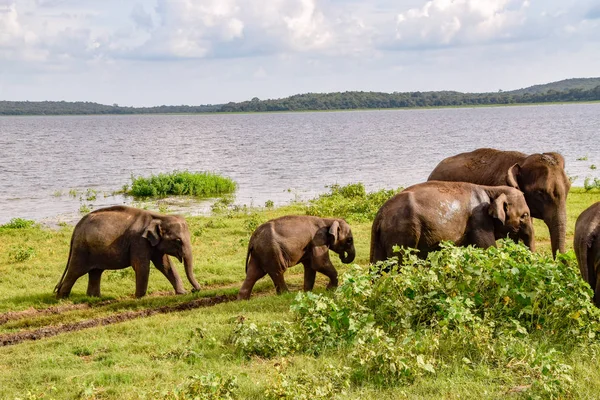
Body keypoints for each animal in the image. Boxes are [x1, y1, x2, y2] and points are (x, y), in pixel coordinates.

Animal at [54, 206, 199, 296]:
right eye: (178, 240)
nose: (194, 290)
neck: (159, 217)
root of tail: (76, 228)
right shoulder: (138, 241)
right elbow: (141, 266)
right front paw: (139, 297)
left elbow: (165, 265)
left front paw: (182, 293)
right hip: (81, 249)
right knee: (76, 271)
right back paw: (62, 297)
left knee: (95, 272)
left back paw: (94, 297)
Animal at [370, 180, 536, 262]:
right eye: (525, 215)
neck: (491, 189)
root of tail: (380, 215)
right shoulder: (479, 220)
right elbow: (488, 249)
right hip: (403, 233)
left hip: (380, 238)